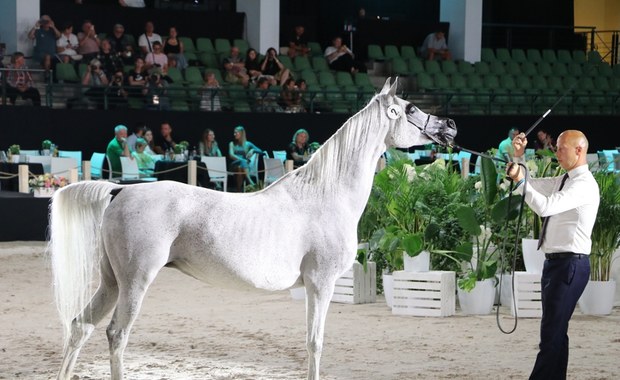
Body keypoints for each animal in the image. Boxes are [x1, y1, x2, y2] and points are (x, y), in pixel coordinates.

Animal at [50, 78, 456, 380]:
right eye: (411, 108)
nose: (450, 126)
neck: (325, 194)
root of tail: (120, 190)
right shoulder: (320, 283)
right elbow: (314, 343)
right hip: (134, 283)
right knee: (117, 335)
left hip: (111, 282)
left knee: (80, 325)